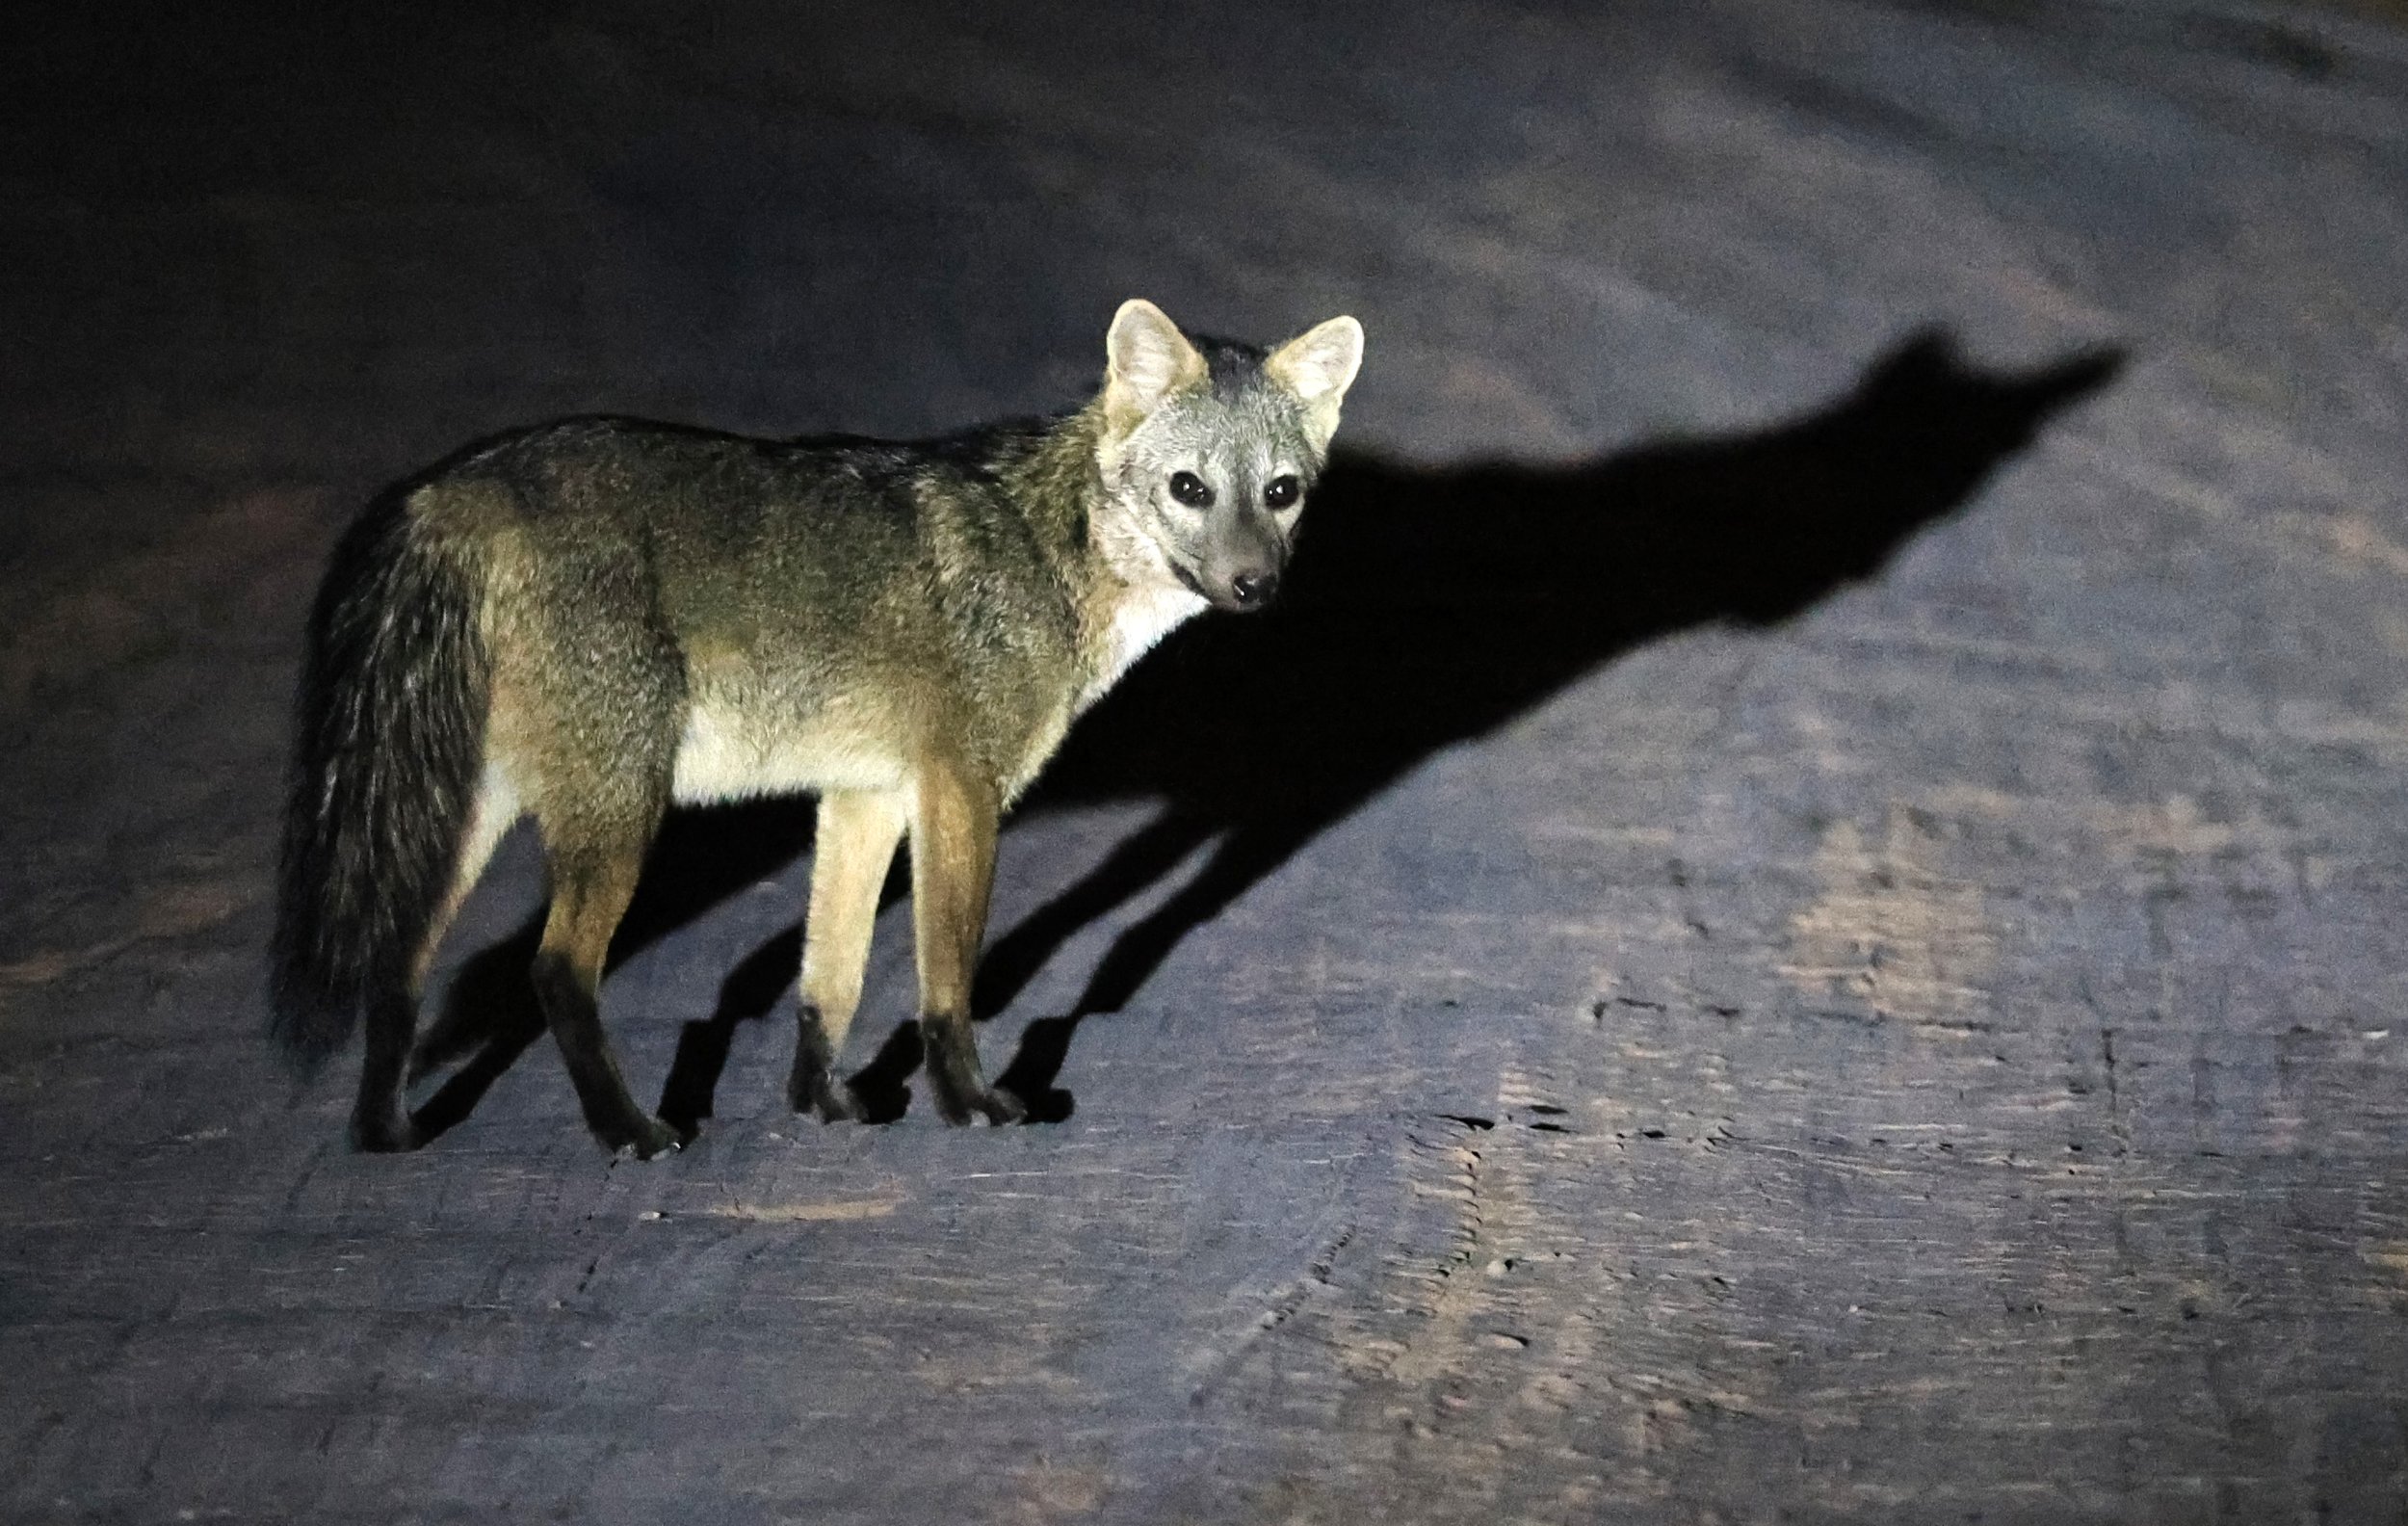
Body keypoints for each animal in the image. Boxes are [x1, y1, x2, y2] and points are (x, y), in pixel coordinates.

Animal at [269, 299, 1364, 1157]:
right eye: (1189, 490)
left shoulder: (865, 795)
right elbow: (946, 975)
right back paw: (630, 1132)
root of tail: (451, 488)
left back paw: (385, 1132)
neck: (1053, 549)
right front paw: (969, 1105)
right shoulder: (960, 790)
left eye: (1279, 493)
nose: (1254, 587)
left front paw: (820, 1104)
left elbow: (827, 978)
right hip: (618, 817)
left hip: (475, 816)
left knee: (397, 966)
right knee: (553, 970)